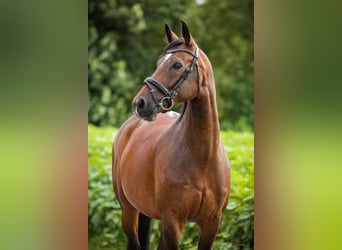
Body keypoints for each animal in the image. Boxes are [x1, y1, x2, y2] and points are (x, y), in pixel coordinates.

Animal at [112, 22, 230, 250]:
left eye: (176, 64)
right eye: (159, 63)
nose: (139, 103)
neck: (202, 158)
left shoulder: (211, 223)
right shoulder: (173, 220)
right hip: (129, 211)